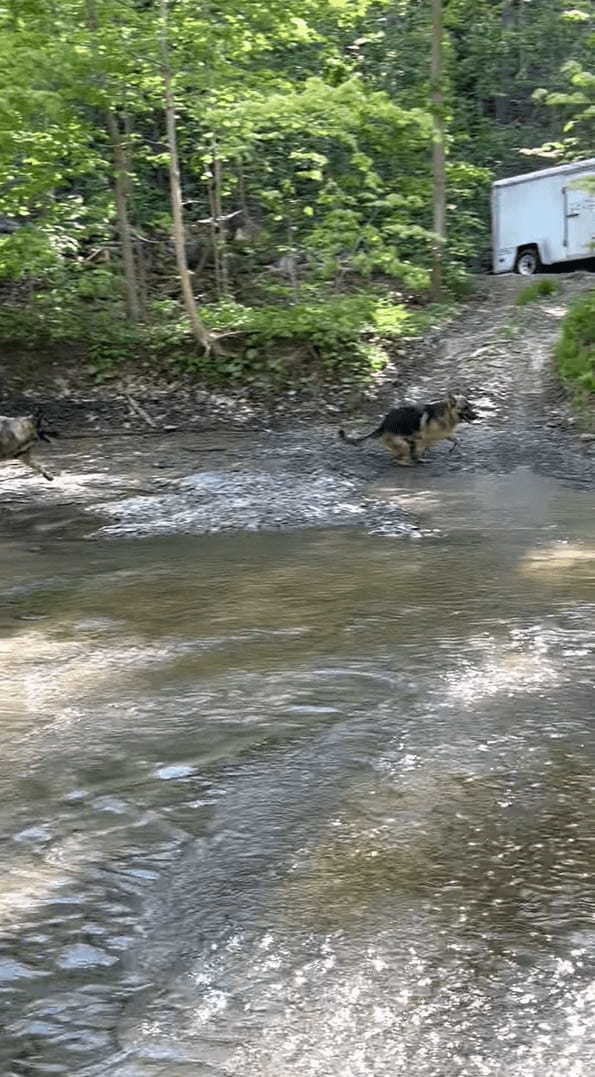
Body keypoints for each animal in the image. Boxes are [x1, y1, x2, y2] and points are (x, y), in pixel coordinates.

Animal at [338, 394, 478, 465]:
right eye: (465, 408)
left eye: (470, 406)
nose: (477, 416)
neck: (447, 414)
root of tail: (383, 424)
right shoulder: (425, 438)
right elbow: (422, 448)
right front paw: (421, 457)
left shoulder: (445, 434)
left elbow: (457, 440)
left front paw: (454, 448)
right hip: (403, 444)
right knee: (399, 458)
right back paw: (409, 461)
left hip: (405, 441)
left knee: (398, 455)